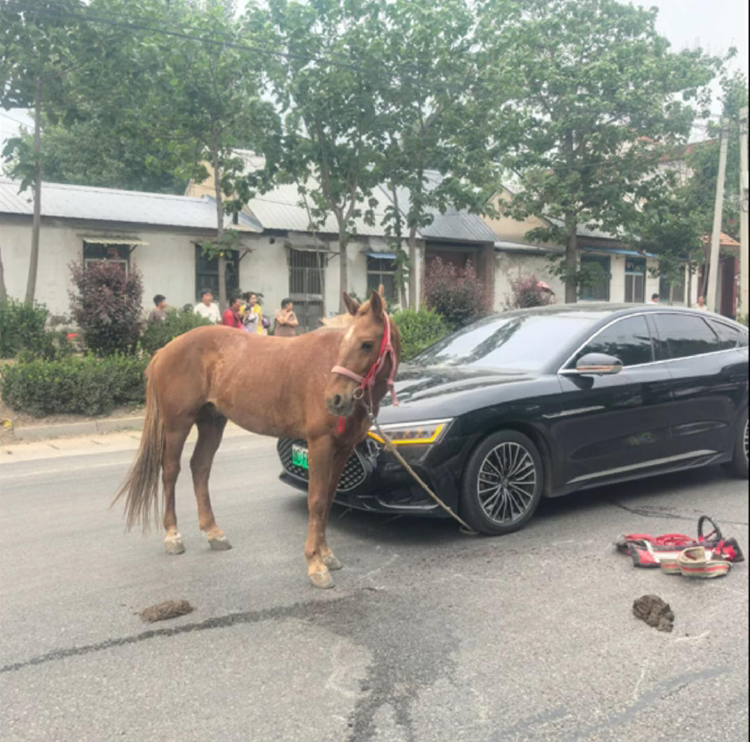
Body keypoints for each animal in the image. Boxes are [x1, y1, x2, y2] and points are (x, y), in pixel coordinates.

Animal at [113, 290, 400, 589]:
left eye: (367, 344)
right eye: (344, 341)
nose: (335, 399)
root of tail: (164, 351)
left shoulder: (343, 448)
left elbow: (329, 500)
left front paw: (326, 554)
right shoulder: (320, 443)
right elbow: (317, 500)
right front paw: (316, 563)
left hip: (211, 422)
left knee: (200, 467)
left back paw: (213, 532)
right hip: (177, 425)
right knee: (170, 471)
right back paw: (173, 535)